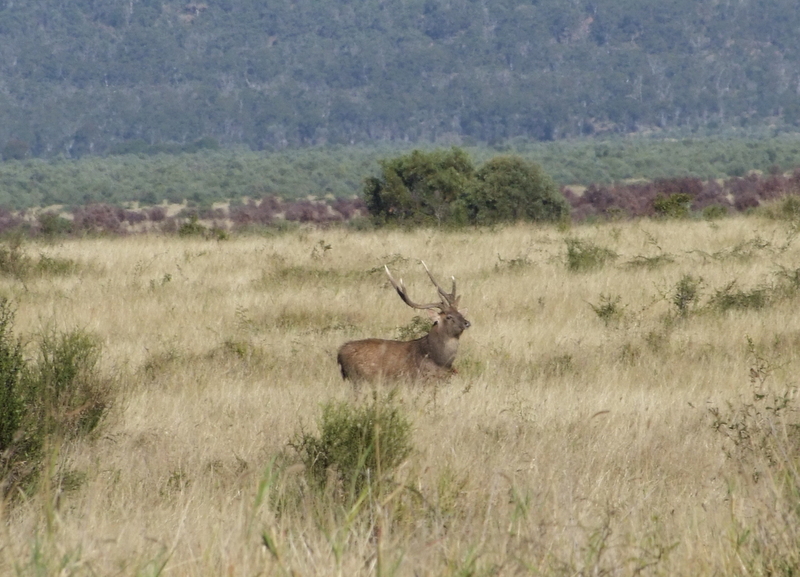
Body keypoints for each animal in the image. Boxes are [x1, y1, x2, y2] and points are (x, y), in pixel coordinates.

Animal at [336, 262, 468, 382]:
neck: (439, 360)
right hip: (358, 378)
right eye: (449, 317)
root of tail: (340, 354)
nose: (467, 323)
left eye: (460, 313)